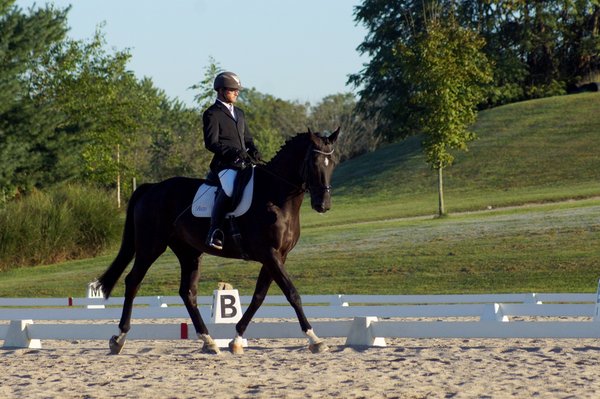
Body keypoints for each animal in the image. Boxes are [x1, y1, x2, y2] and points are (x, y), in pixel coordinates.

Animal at [99, 129, 342, 356]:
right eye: (313, 162)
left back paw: (208, 341)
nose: (323, 204)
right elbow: (292, 294)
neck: (275, 196)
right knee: (133, 282)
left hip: (189, 252)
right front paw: (315, 339)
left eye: (333, 162)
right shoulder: (269, 253)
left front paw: (236, 340)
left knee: (187, 293)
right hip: (151, 246)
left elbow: (259, 296)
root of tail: (151, 188)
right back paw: (119, 339)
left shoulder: (278, 256)